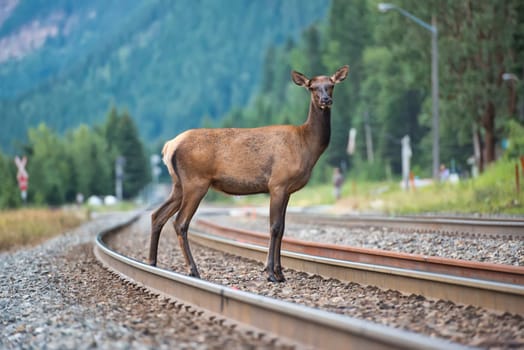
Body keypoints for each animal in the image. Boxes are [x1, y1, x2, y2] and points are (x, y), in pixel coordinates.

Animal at [149, 65, 350, 282]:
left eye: (331, 85)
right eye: (312, 87)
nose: (326, 100)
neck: (307, 146)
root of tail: (168, 147)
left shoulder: (287, 190)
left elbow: (282, 228)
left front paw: (280, 273)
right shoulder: (277, 183)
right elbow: (275, 227)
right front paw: (270, 273)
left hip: (179, 185)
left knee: (157, 215)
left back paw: (152, 263)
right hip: (196, 182)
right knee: (180, 222)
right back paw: (192, 270)